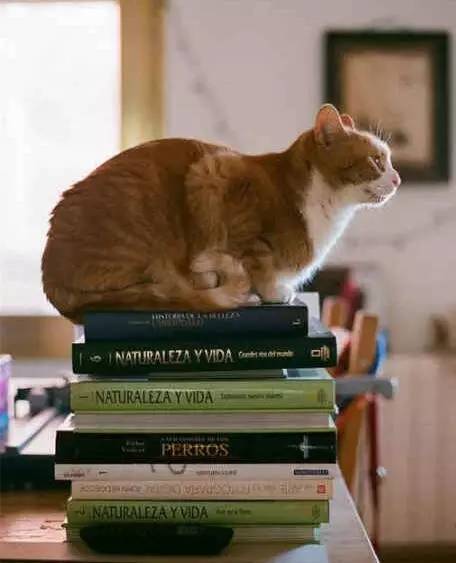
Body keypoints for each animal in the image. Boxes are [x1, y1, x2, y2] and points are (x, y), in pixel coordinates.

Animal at [42, 104, 400, 323]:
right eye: (376, 161)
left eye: (390, 161)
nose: (397, 179)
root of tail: (50, 279)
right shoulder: (218, 175)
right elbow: (258, 263)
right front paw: (272, 292)